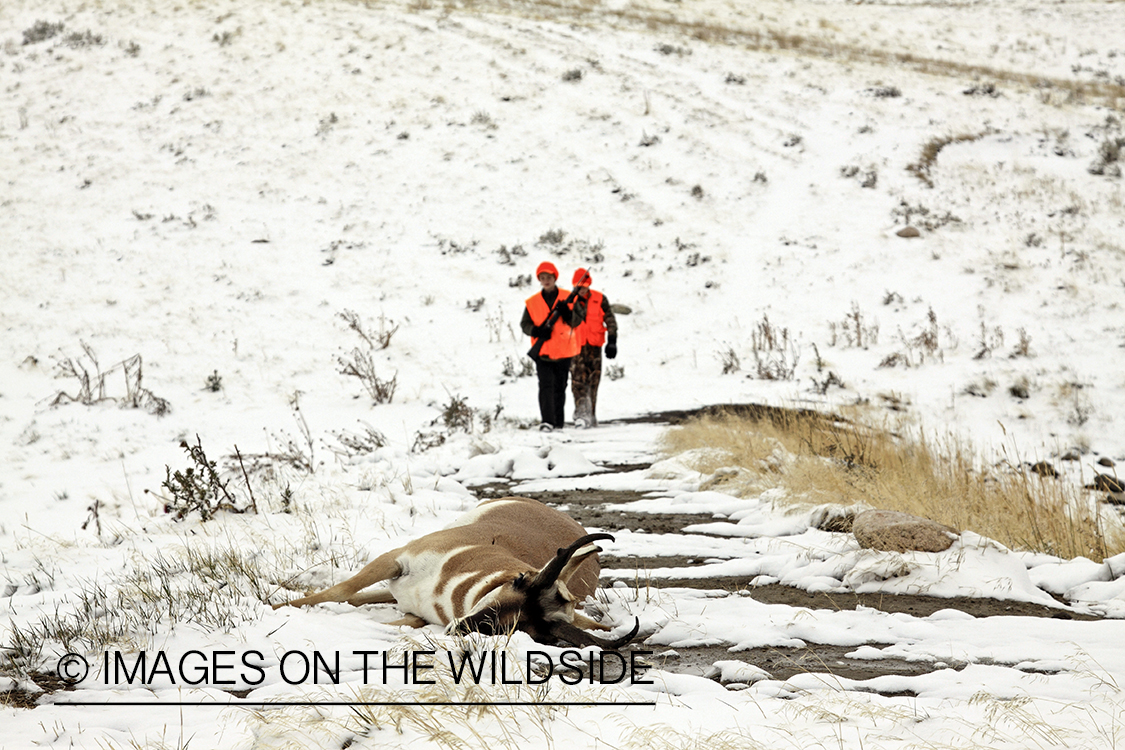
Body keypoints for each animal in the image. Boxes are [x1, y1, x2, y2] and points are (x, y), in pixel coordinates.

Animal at [275, 494, 639, 647]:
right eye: (520, 581)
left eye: (529, 630)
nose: (463, 626)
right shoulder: (395, 559)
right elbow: (342, 590)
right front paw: (277, 607)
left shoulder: (417, 614)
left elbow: (392, 618)